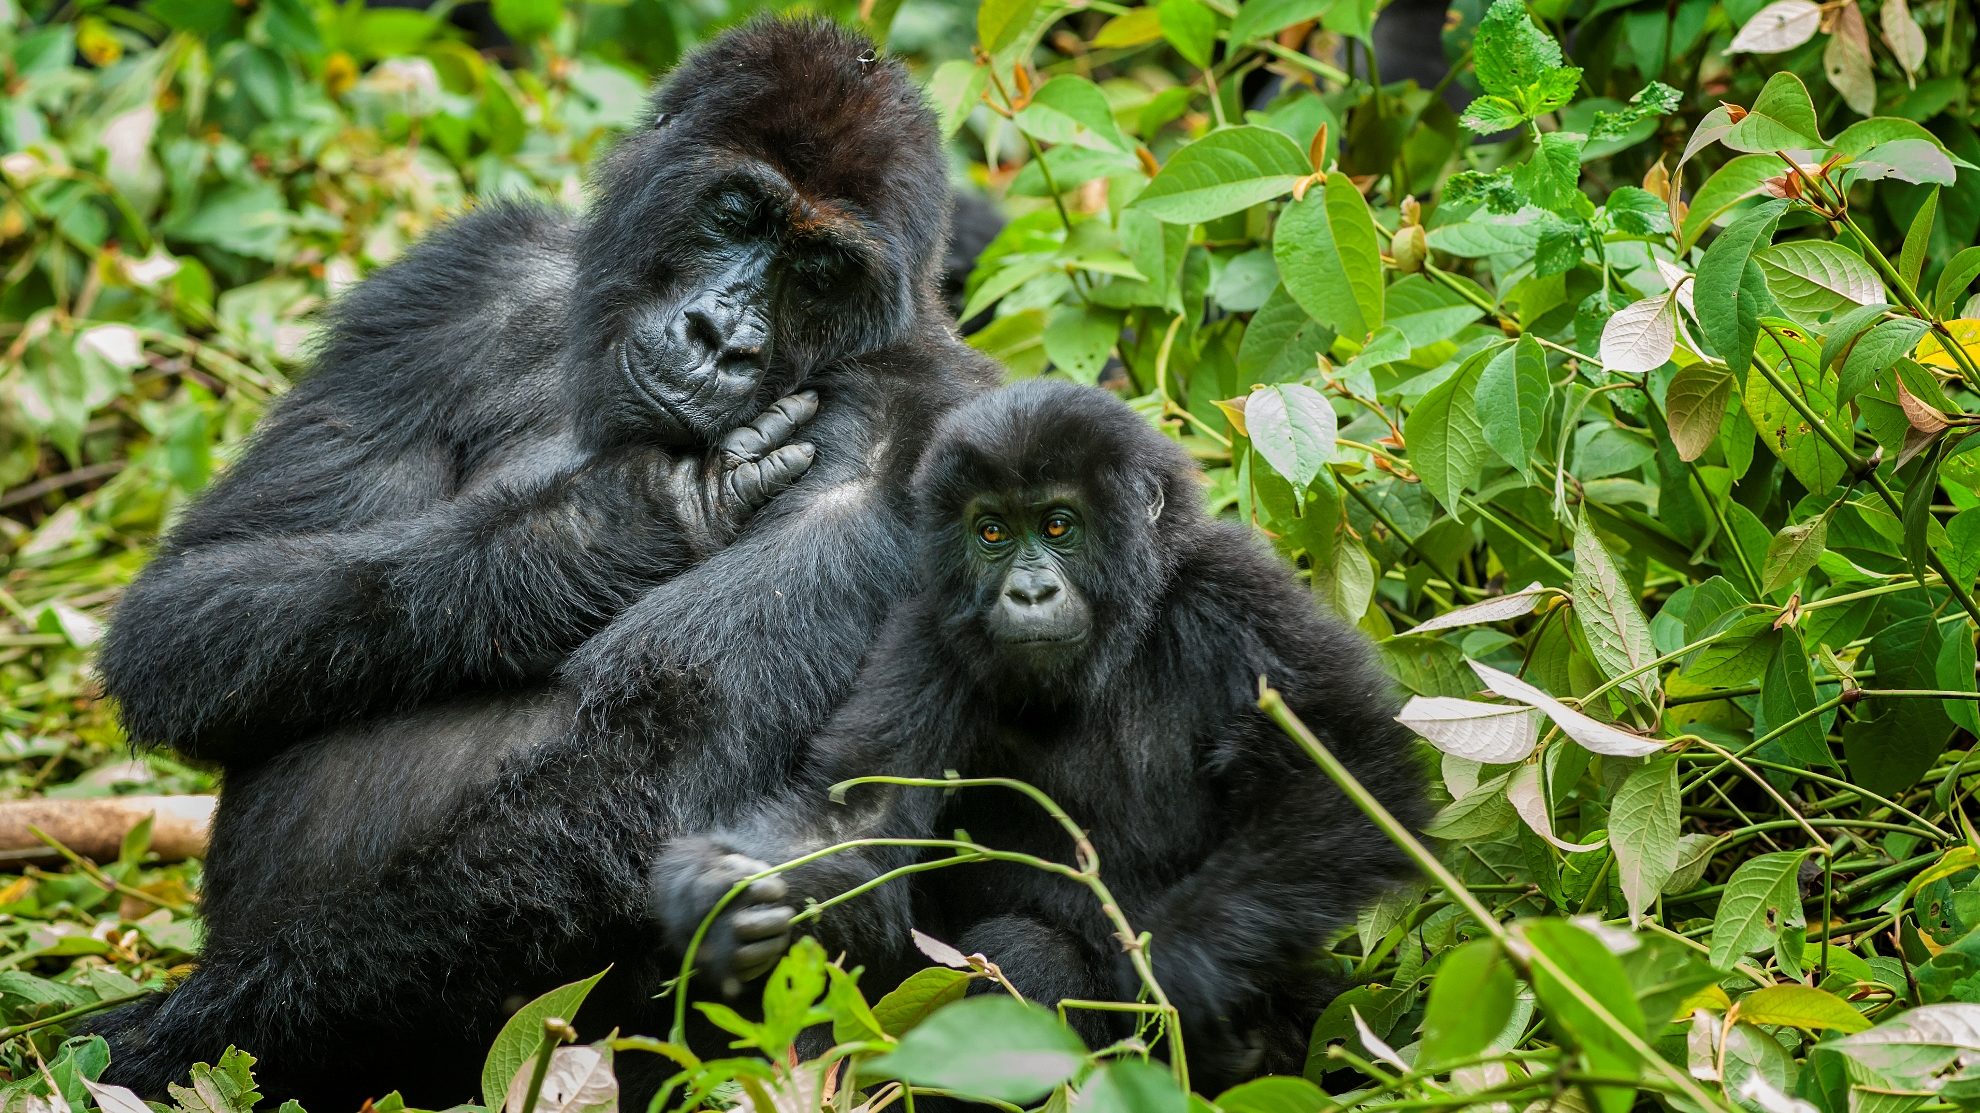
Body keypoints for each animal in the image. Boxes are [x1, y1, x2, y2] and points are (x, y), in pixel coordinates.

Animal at [89, 17, 1005, 1101]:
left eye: (821, 272)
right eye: (737, 211)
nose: (722, 338)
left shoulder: (923, 427)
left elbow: (656, 764)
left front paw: (179, 1034)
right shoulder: (459, 279)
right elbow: (187, 606)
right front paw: (604, 529)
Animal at [661, 378, 1425, 1085]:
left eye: (1058, 526)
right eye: (992, 531)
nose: (1030, 593)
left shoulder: (1235, 594)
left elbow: (1348, 775)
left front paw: (1181, 966)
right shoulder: (930, 636)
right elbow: (856, 817)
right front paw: (718, 892)